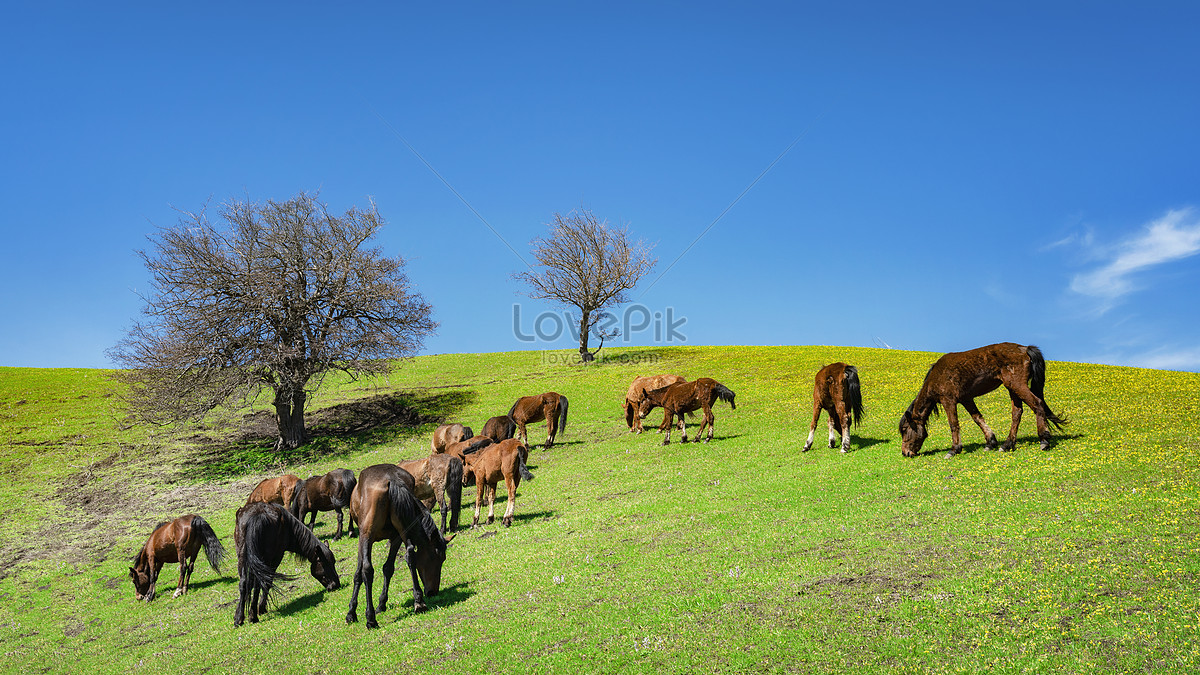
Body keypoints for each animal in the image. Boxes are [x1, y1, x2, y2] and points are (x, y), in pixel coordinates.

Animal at [350, 461, 458, 624]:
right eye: (438, 558)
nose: (433, 591)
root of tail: (393, 480)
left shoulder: (363, 538)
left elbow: (359, 572)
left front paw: (352, 612)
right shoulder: (395, 537)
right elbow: (388, 568)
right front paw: (381, 604)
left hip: (367, 534)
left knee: (367, 569)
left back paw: (371, 618)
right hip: (400, 531)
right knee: (409, 555)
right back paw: (419, 602)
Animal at [902, 341, 1070, 456]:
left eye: (904, 430)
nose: (905, 453)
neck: (936, 376)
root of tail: (1024, 348)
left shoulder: (948, 400)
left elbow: (953, 424)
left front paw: (954, 449)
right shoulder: (967, 399)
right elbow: (978, 419)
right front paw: (991, 442)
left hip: (1017, 385)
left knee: (1037, 404)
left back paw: (1044, 440)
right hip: (1012, 388)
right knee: (1017, 413)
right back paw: (1007, 445)